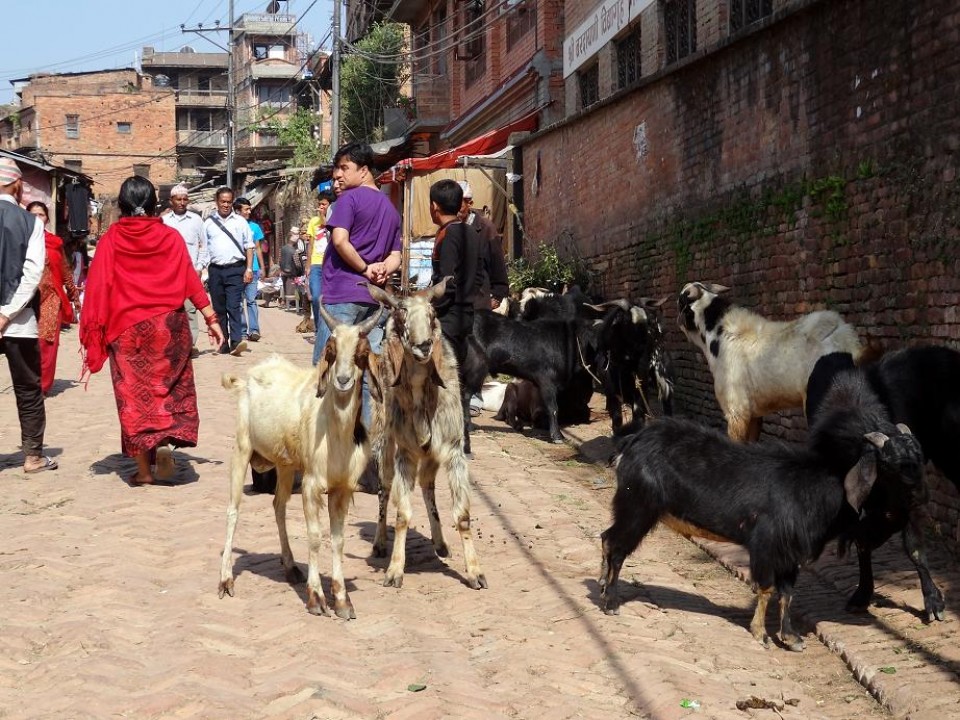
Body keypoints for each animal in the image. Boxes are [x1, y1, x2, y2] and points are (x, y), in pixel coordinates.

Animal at [218, 306, 382, 616]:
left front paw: (342, 599)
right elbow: (316, 535)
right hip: (241, 448)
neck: (335, 432)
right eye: (331, 350)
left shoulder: (343, 488)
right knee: (232, 511)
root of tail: (249, 378)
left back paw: (291, 566)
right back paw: (225, 581)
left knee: (278, 505)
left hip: (284, 465)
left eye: (361, 352)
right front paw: (316, 597)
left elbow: (338, 539)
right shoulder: (311, 484)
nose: (343, 380)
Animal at [366, 278, 488, 592]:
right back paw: (380, 544)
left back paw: (441, 543)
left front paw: (476, 573)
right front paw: (394, 571)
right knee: (385, 489)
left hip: (431, 452)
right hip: (384, 440)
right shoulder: (405, 452)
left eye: (433, 315)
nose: (423, 346)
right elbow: (402, 514)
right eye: (402, 315)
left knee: (426, 484)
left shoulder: (453, 449)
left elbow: (463, 515)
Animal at [604, 374, 928, 648]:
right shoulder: (766, 545)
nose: (919, 496)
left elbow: (788, 593)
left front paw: (790, 637)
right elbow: (766, 588)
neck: (818, 486)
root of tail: (632, 443)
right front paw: (760, 633)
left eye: (919, 456)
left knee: (607, 538)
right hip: (638, 506)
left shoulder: (791, 553)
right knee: (616, 546)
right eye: (887, 463)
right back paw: (610, 603)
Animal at [808, 352, 948, 620]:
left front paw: (934, 601)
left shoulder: (903, 509)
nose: (921, 494)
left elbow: (914, 548)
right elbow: (861, 542)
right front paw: (861, 596)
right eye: (887, 465)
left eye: (920, 457)